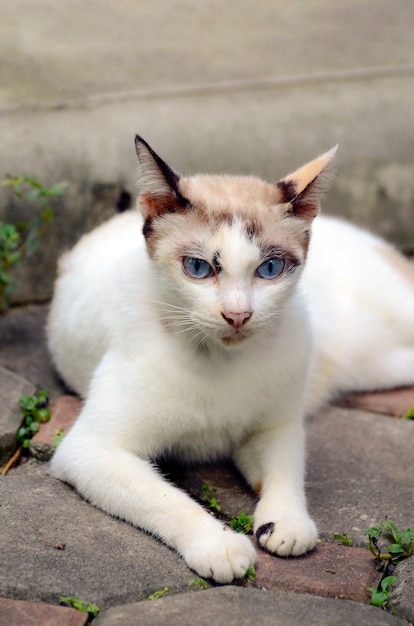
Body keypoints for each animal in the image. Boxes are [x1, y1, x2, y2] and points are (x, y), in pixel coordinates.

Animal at [47, 134, 414, 584]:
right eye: (197, 267)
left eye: (270, 268)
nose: (238, 315)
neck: (219, 359)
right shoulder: (92, 450)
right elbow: (161, 496)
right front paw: (216, 542)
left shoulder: (276, 427)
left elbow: (286, 471)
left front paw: (287, 520)